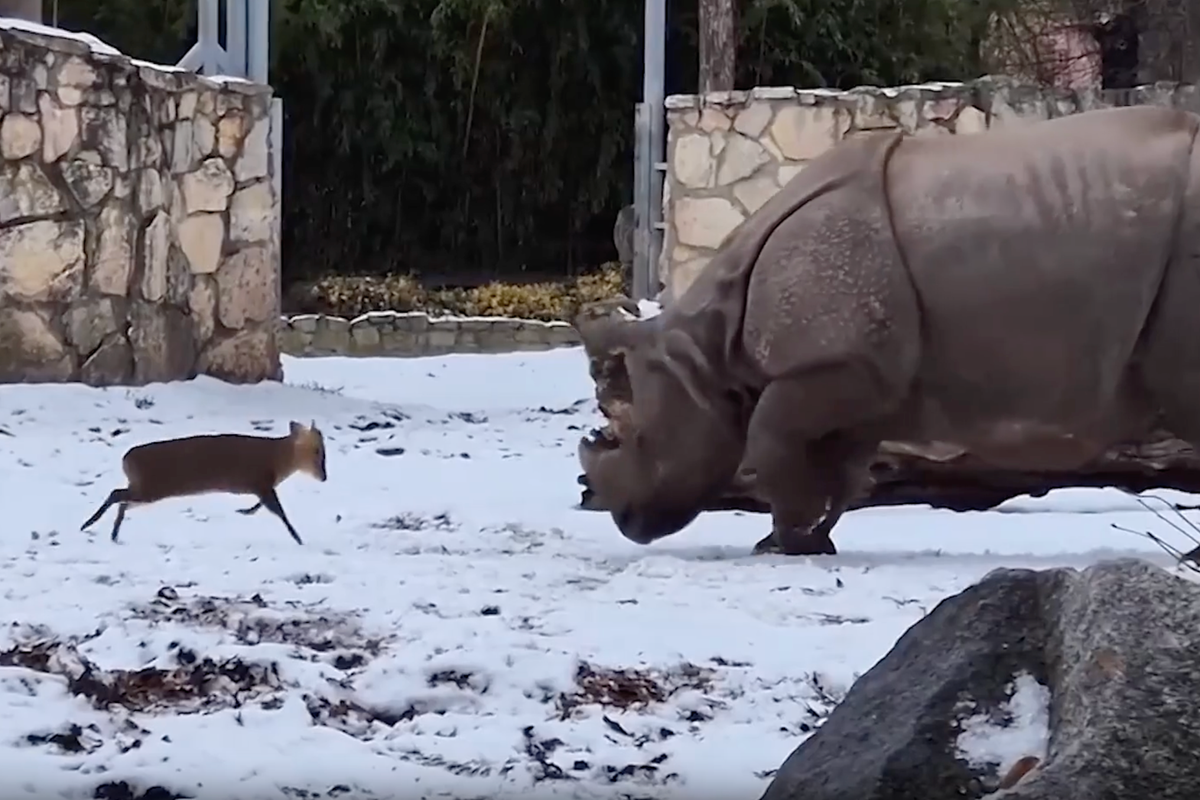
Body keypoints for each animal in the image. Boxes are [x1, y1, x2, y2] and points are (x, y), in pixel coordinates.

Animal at [576, 105, 1200, 556]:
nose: (625, 520)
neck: (707, 351)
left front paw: (783, 545)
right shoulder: (866, 377)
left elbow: (768, 439)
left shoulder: (833, 364)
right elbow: (847, 473)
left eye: (637, 438)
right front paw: (805, 541)